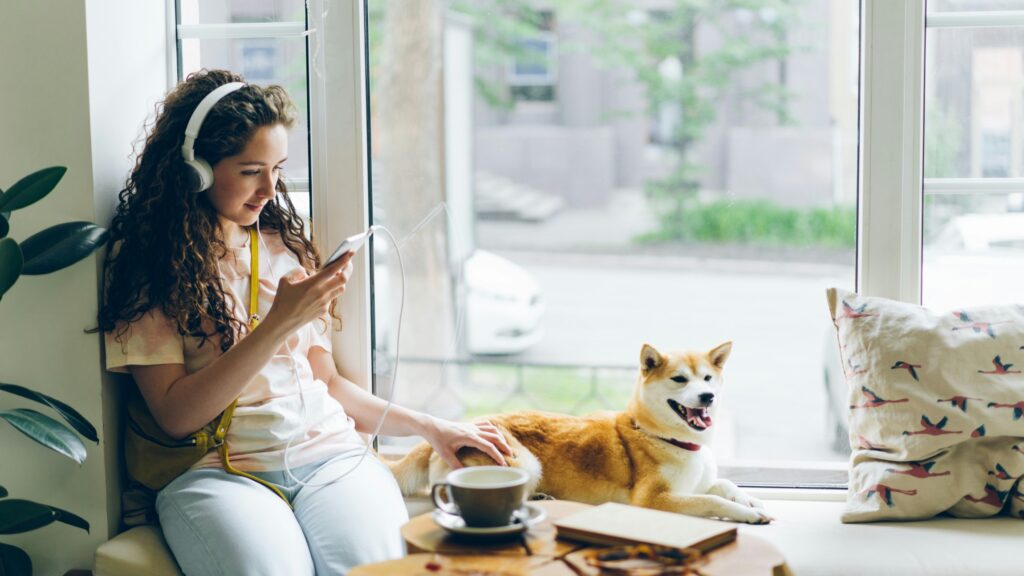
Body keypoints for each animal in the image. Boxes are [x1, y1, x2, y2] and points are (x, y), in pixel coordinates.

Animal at [387, 342, 770, 522]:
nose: (707, 396)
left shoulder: (695, 483)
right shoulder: (654, 500)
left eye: (707, 378)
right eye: (680, 379)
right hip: (523, 462)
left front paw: (751, 500)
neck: (665, 437)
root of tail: (459, 428)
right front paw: (747, 514)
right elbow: (712, 500)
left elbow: (724, 485)